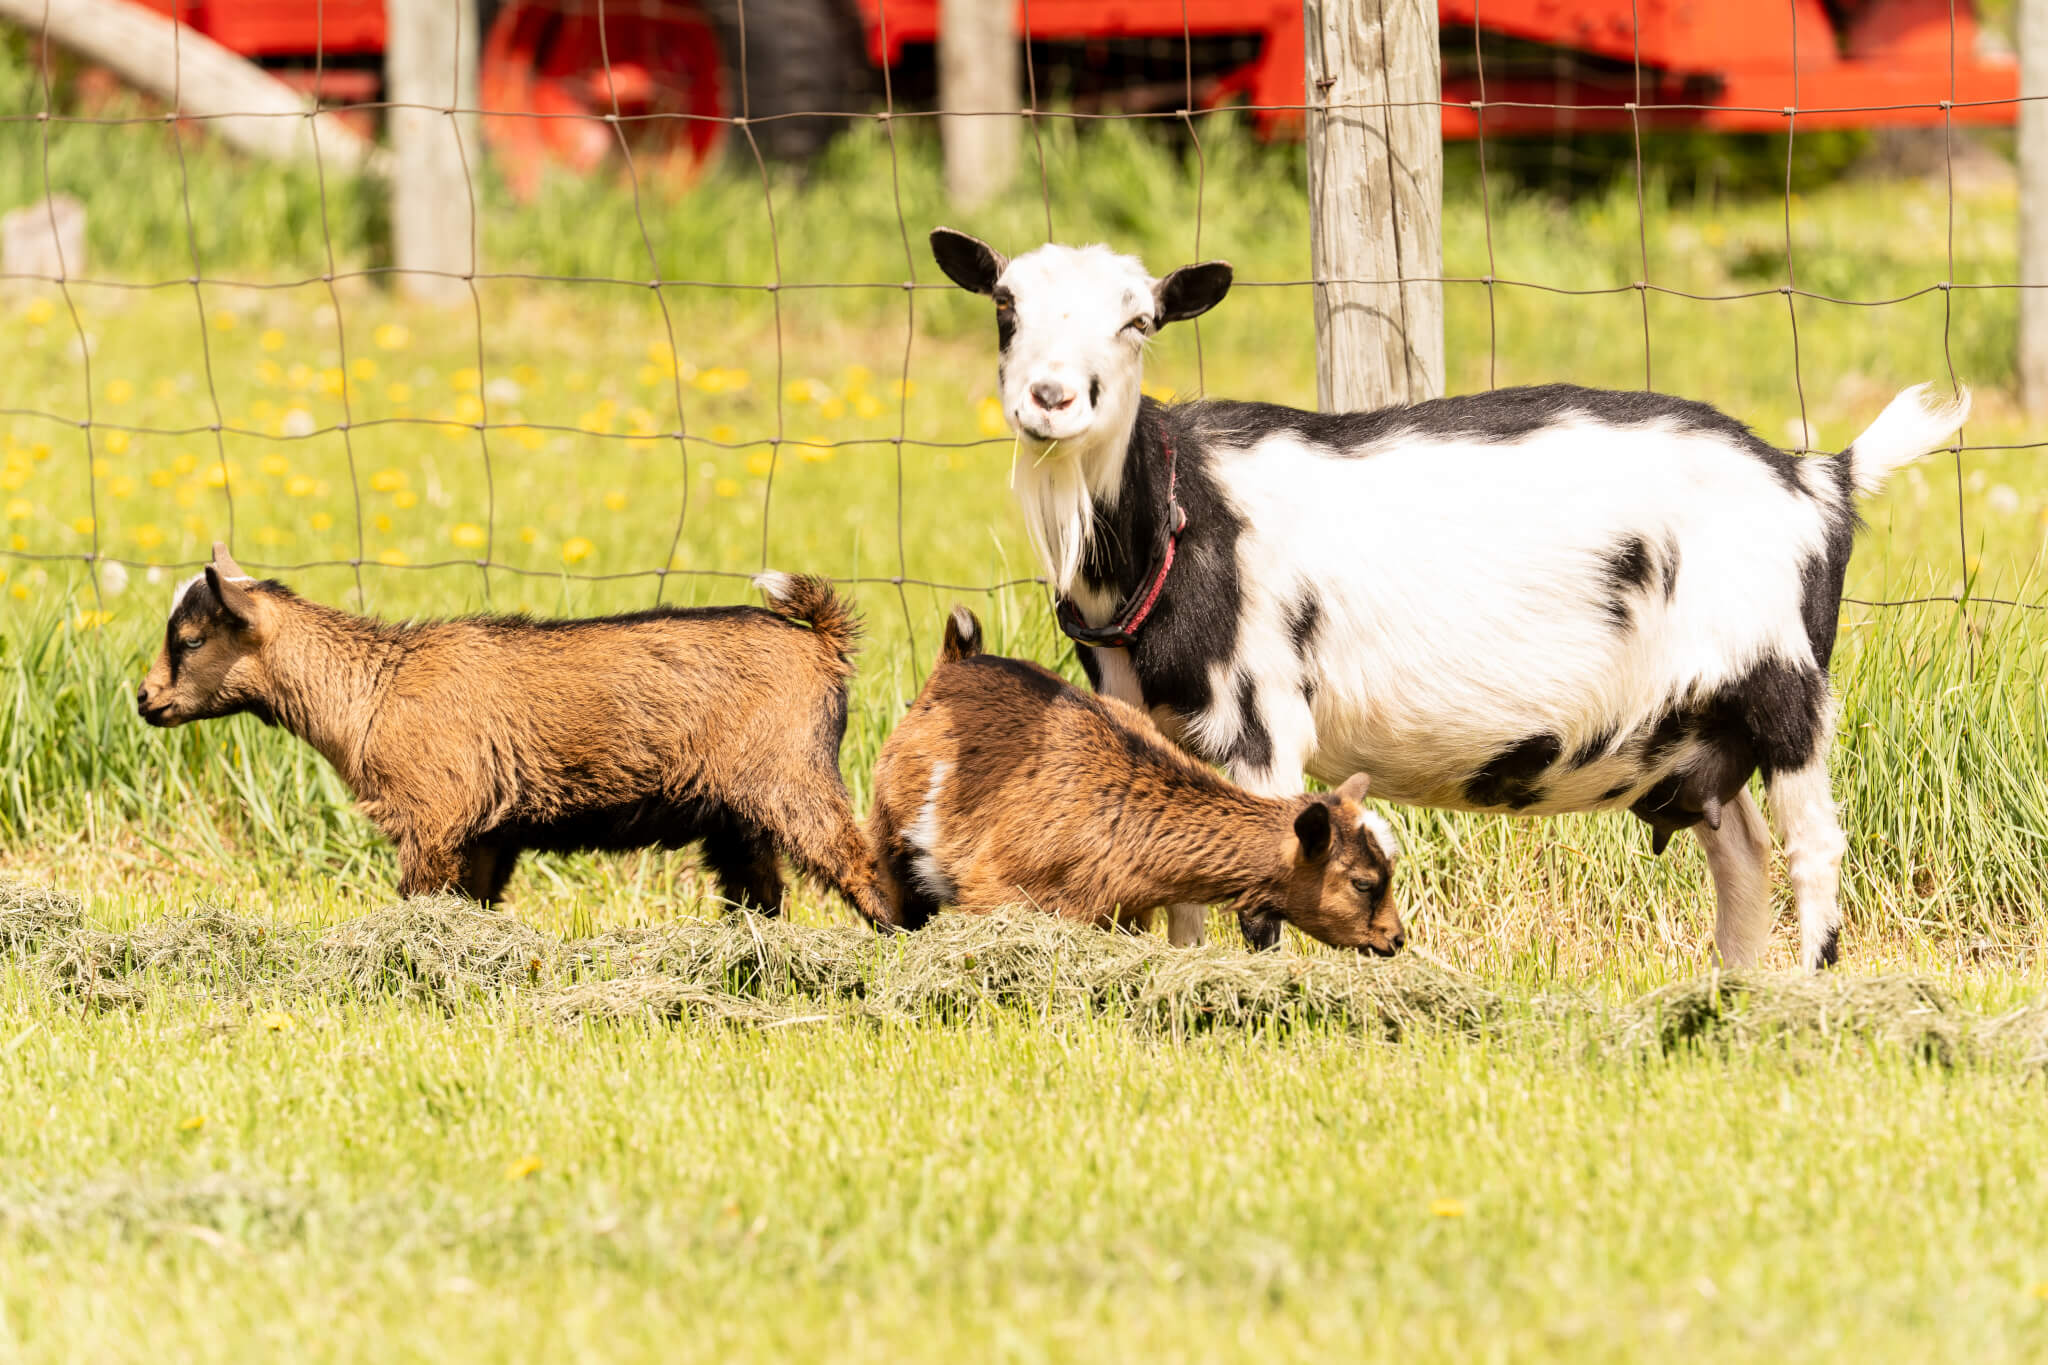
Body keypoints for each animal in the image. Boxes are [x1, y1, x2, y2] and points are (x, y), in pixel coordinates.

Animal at [137, 543, 892, 924]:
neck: (370, 688)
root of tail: (822, 641)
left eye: (191, 638)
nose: (145, 700)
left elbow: (421, 901)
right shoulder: (486, 832)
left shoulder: (434, 816)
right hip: (738, 814)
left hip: (792, 776)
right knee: (760, 894)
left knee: (862, 865)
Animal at [868, 606, 1403, 954]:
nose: (1394, 939)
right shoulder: (993, 893)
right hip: (892, 834)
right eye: (1363, 882)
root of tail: (956, 662)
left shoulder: (1127, 916)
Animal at [929, 225, 1972, 970]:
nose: (1051, 398)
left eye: (1139, 319)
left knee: (1815, 848)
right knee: (1744, 856)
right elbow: (1177, 873)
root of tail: (1819, 477)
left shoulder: (1263, 722)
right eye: (1005, 303)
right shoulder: (1147, 720)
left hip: (1784, 684)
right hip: (1696, 729)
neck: (1185, 517)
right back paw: (1736, 990)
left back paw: (1809, 992)